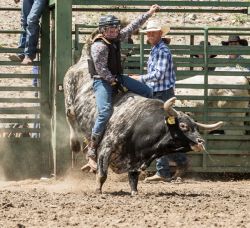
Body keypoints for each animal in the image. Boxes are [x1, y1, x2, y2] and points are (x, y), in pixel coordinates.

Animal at [64, 52, 223, 195]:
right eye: (183, 126)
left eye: (196, 127)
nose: (201, 142)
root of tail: (83, 60)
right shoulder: (106, 147)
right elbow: (102, 173)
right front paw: (98, 190)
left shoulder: (136, 160)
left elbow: (133, 179)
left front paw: (134, 192)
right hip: (69, 101)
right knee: (70, 117)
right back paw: (75, 144)